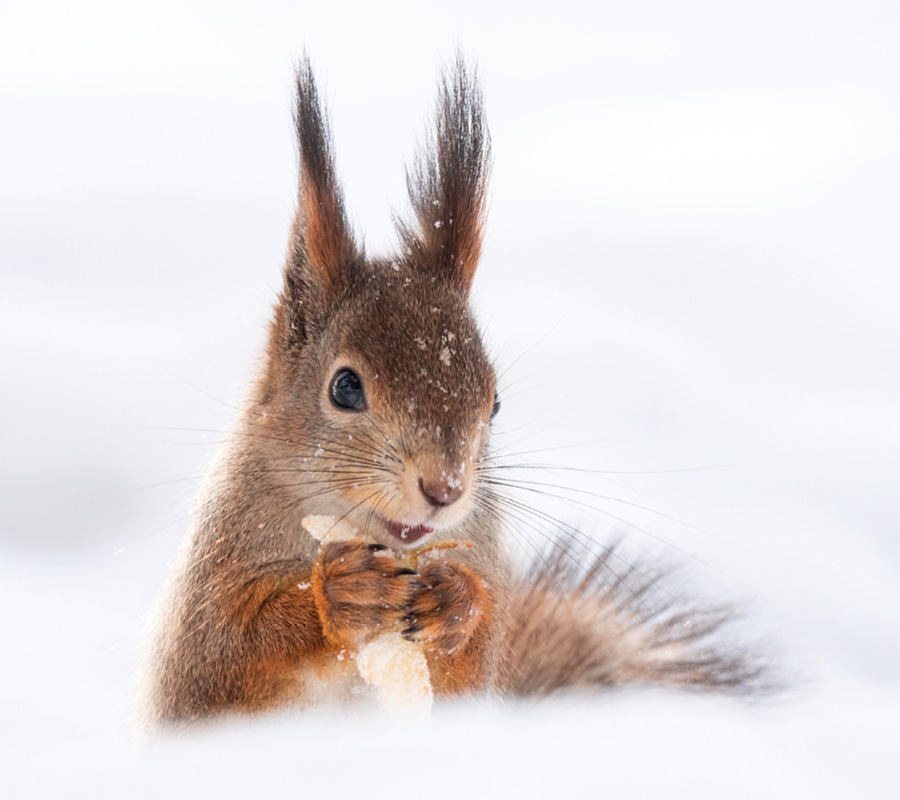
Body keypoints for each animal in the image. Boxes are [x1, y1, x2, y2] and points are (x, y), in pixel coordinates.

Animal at [143, 56, 757, 724]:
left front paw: (456, 601)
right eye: (345, 387)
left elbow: (472, 661)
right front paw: (341, 594)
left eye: (495, 400)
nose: (445, 489)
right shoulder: (213, 583)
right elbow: (225, 655)